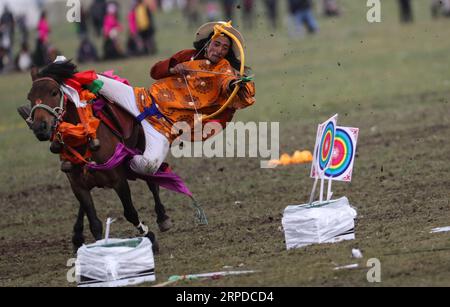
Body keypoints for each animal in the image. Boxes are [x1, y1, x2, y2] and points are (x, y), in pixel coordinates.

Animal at [18, 61, 172, 254]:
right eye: (29, 96)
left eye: (54, 92)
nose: (40, 128)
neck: (82, 139)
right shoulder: (78, 185)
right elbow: (94, 222)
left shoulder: (118, 180)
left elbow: (130, 212)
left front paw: (149, 236)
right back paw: (77, 236)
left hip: (142, 149)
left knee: (152, 182)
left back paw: (162, 217)